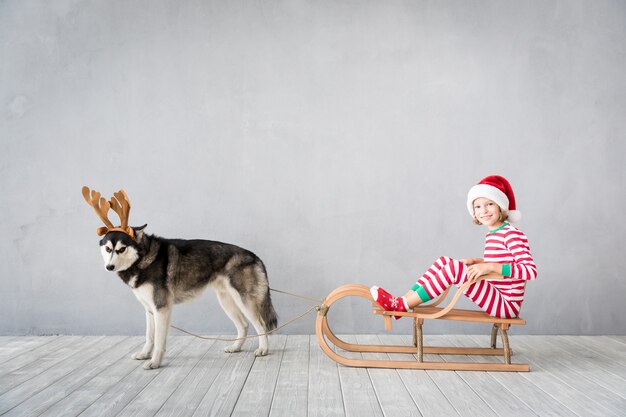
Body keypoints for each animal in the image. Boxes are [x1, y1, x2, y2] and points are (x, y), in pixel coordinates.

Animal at [99, 226, 276, 368]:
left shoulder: (161, 309)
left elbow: (159, 340)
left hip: (245, 301)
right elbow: (150, 337)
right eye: (108, 249)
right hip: (226, 302)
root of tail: (254, 256)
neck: (143, 257)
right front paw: (144, 355)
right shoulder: (149, 309)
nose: (109, 267)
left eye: (122, 249)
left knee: (261, 326)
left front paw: (154, 362)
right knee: (244, 325)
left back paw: (263, 349)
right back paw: (235, 348)